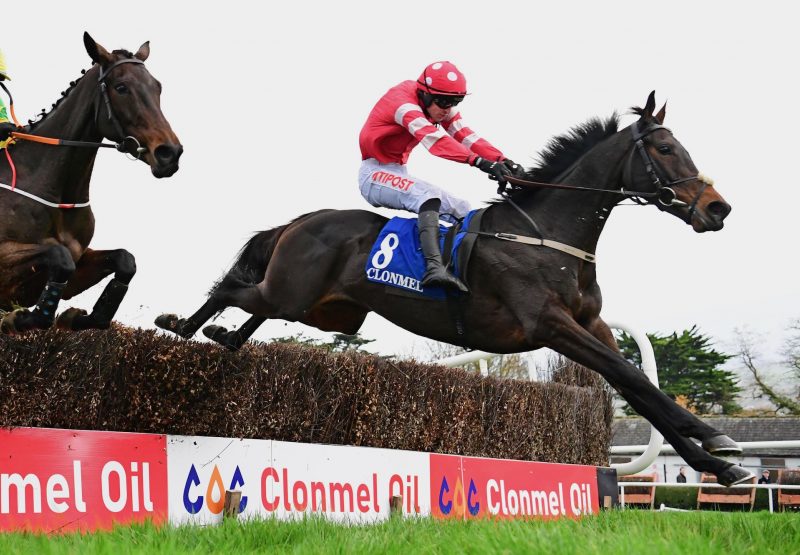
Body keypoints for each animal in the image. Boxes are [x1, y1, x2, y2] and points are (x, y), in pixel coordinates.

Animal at [0, 32, 181, 334]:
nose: (170, 153)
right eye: (121, 87)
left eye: (158, 87)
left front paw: (78, 317)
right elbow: (59, 257)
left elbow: (124, 259)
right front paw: (16, 318)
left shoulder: (77, 261)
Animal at [156, 93, 752, 488]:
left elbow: (636, 385)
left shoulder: (590, 324)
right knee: (230, 289)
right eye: (667, 149)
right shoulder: (550, 325)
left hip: (322, 309)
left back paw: (224, 338)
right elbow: (632, 377)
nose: (717, 208)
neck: (548, 234)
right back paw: (181, 324)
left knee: (253, 307)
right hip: (290, 292)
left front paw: (717, 463)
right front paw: (717, 440)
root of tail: (301, 220)